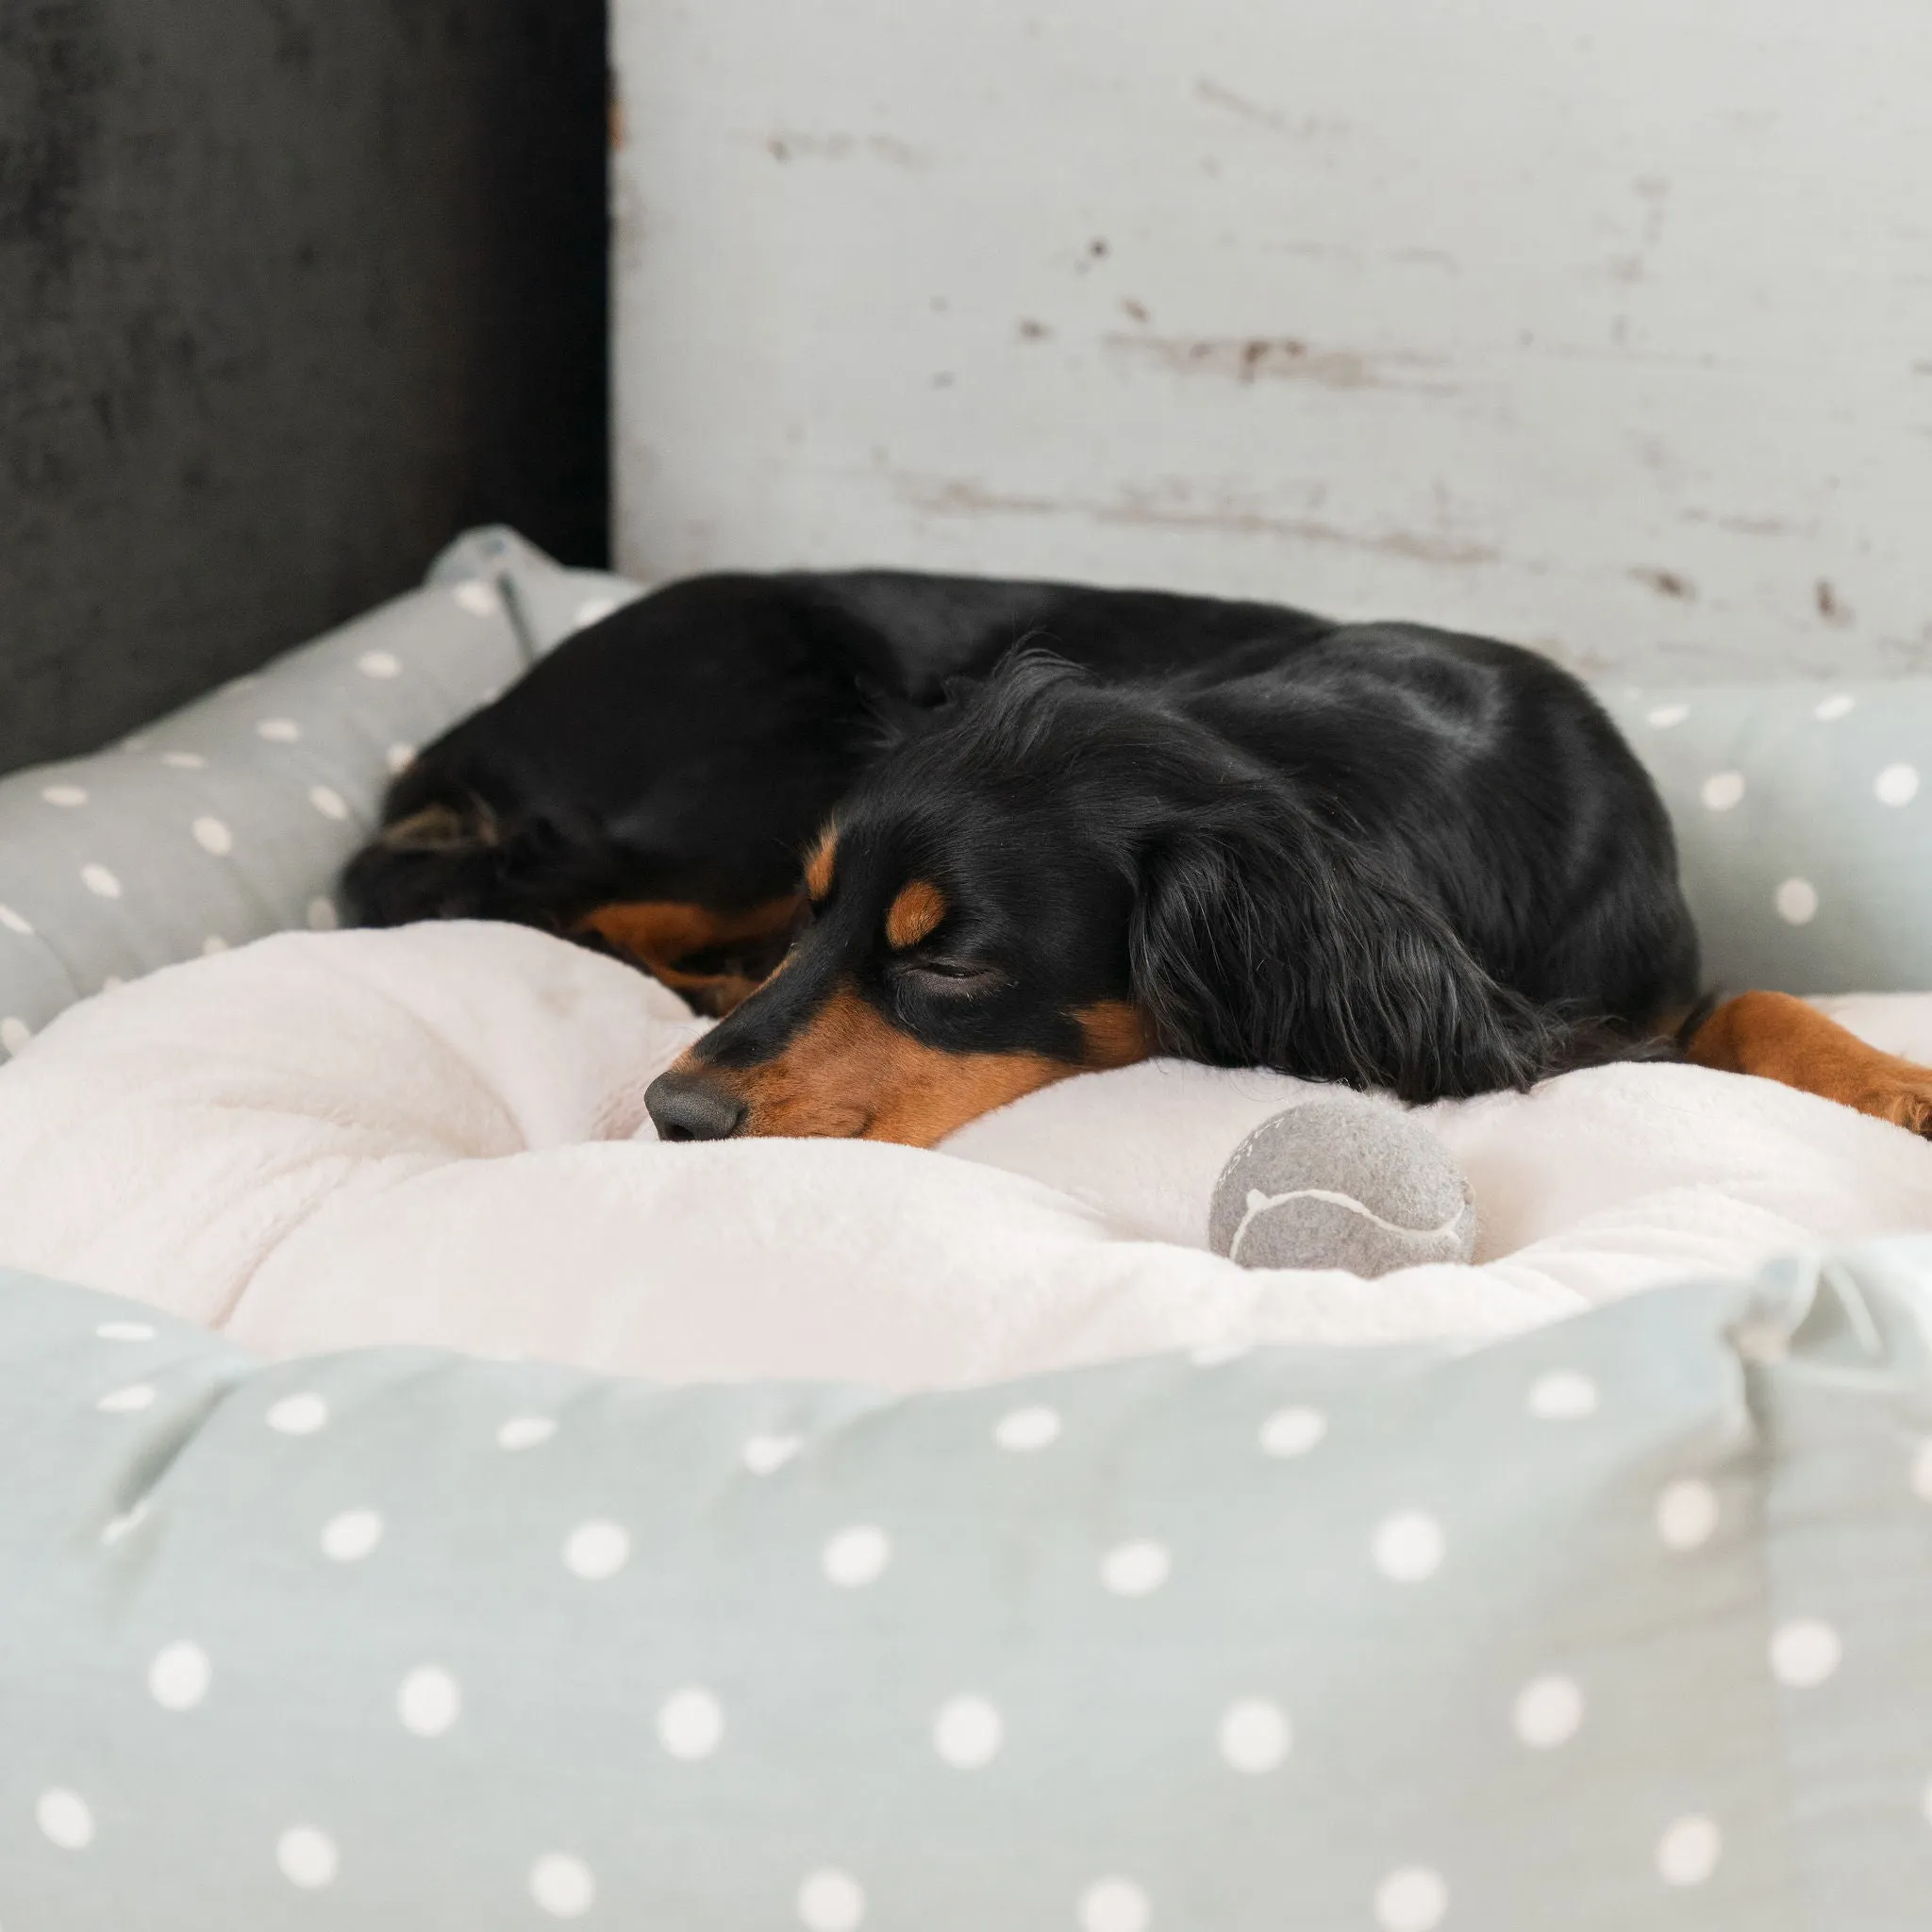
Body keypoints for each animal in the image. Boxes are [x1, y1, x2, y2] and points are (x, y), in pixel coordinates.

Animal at [343, 572, 1932, 1143]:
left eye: (952, 960)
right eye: (816, 918)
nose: (675, 1112)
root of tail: (483, 719)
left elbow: (1750, 1001)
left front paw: (1891, 1082)